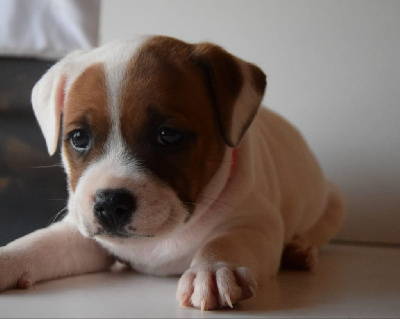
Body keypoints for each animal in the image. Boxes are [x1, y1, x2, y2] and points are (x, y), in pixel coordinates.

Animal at [0, 35, 344, 312]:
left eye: (168, 135)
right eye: (79, 138)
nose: (109, 204)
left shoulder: (257, 223)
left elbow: (227, 240)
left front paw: (213, 269)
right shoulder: (85, 237)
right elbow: (37, 244)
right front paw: (7, 258)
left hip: (332, 204)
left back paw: (300, 251)